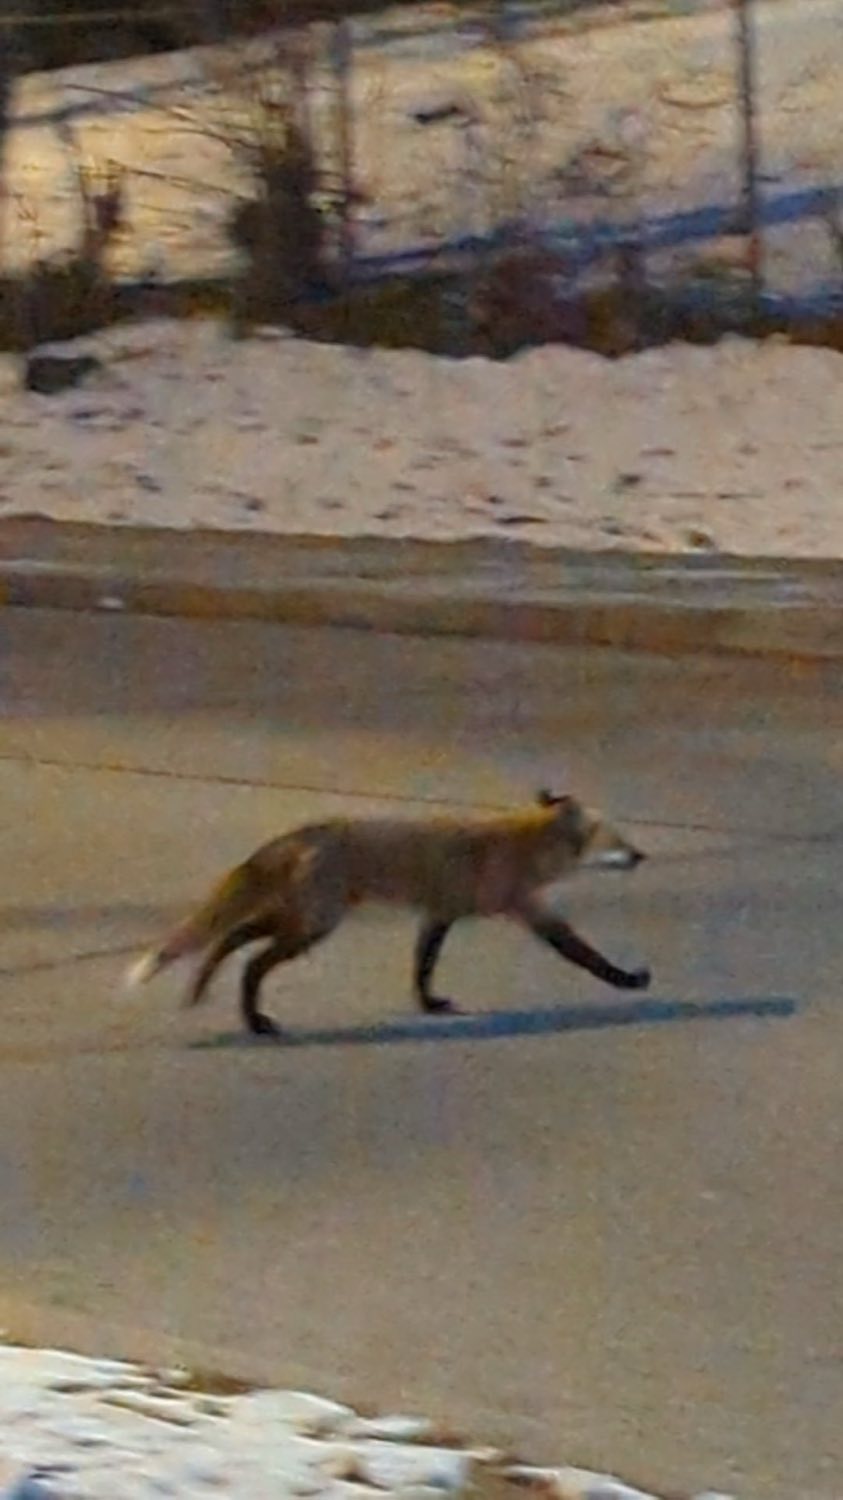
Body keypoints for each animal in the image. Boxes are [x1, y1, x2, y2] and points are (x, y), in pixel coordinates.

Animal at [124, 790, 650, 1039]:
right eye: (618, 842)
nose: (643, 855)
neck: (523, 845)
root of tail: (301, 833)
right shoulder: (525, 910)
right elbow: (583, 955)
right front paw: (629, 980)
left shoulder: (440, 913)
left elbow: (423, 966)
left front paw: (429, 1004)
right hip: (315, 925)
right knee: (251, 959)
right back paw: (254, 1021)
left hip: (301, 917)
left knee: (231, 938)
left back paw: (214, 992)